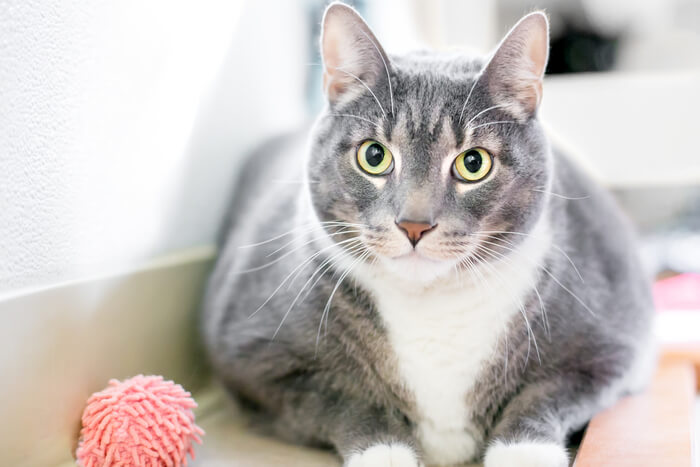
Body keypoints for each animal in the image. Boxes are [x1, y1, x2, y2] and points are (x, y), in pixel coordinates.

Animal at [200, 4, 652, 467]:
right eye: (374, 156)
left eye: (474, 163)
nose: (414, 224)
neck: (432, 306)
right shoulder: (254, 359)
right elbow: (342, 400)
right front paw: (385, 453)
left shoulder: (612, 350)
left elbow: (544, 394)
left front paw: (524, 453)